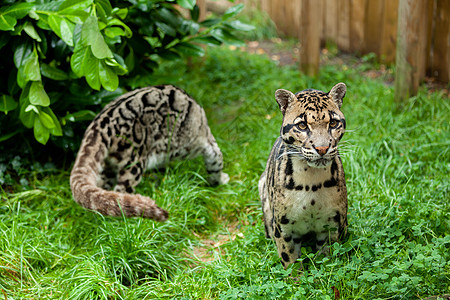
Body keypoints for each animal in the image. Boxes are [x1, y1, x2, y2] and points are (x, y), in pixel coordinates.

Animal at [70, 84, 229, 220]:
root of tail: (99, 125)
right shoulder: (208, 142)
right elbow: (216, 160)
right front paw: (220, 180)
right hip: (134, 164)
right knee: (122, 191)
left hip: (109, 167)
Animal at [258, 81, 350, 268]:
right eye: (302, 125)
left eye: (333, 123)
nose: (322, 148)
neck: (311, 182)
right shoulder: (283, 228)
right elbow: (290, 261)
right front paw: (295, 275)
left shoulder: (331, 224)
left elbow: (326, 258)